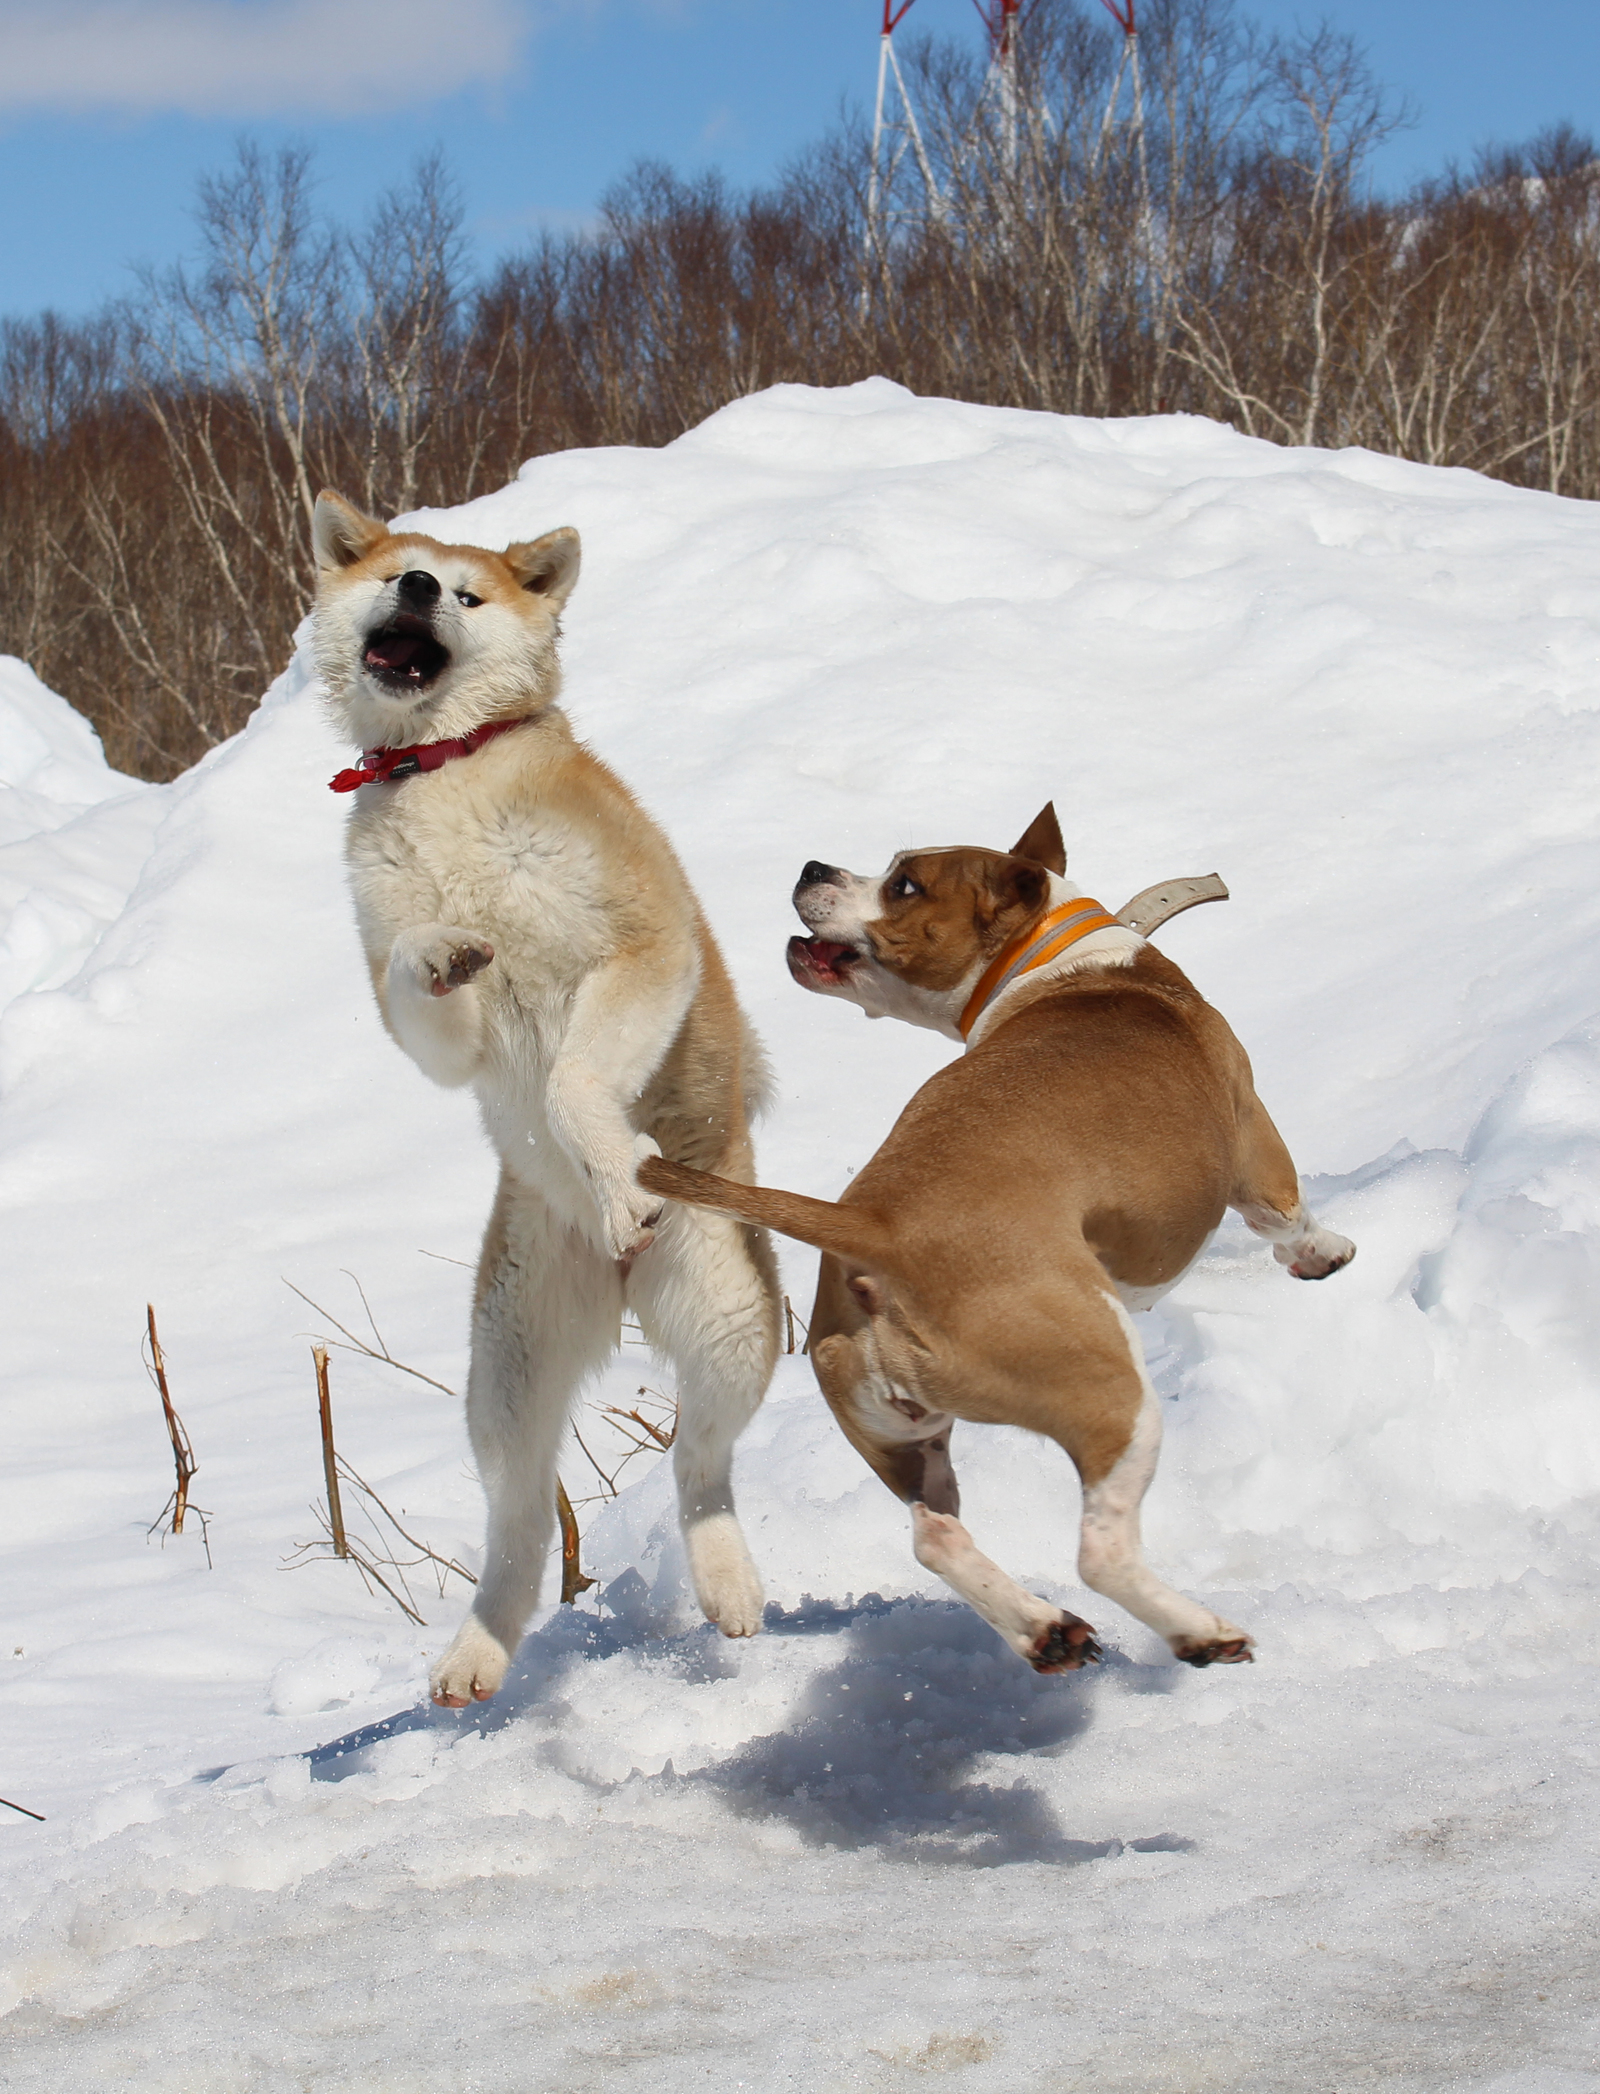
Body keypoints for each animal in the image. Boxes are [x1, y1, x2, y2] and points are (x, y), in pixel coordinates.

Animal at [312, 498, 783, 1708]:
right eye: (395, 572)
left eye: (464, 592)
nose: (417, 588)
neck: (444, 771)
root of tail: (617, 1285)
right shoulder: (428, 1015)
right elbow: (414, 975)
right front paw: (442, 948)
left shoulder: (643, 946)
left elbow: (573, 1079)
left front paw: (616, 1166)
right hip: (508, 1361)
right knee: (519, 1517)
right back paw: (476, 1650)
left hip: (729, 1310)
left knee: (698, 1460)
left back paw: (726, 1581)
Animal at [636, 808, 1348, 1675]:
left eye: (905, 883)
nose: (812, 867)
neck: (1062, 961)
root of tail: (878, 1225)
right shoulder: (1254, 1148)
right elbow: (1287, 1215)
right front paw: (1326, 1255)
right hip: (1106, 1389)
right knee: (1101, 1551)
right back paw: (1199, 1632)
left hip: (901, 1435)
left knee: (936, 1537)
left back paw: (1045, 1629)